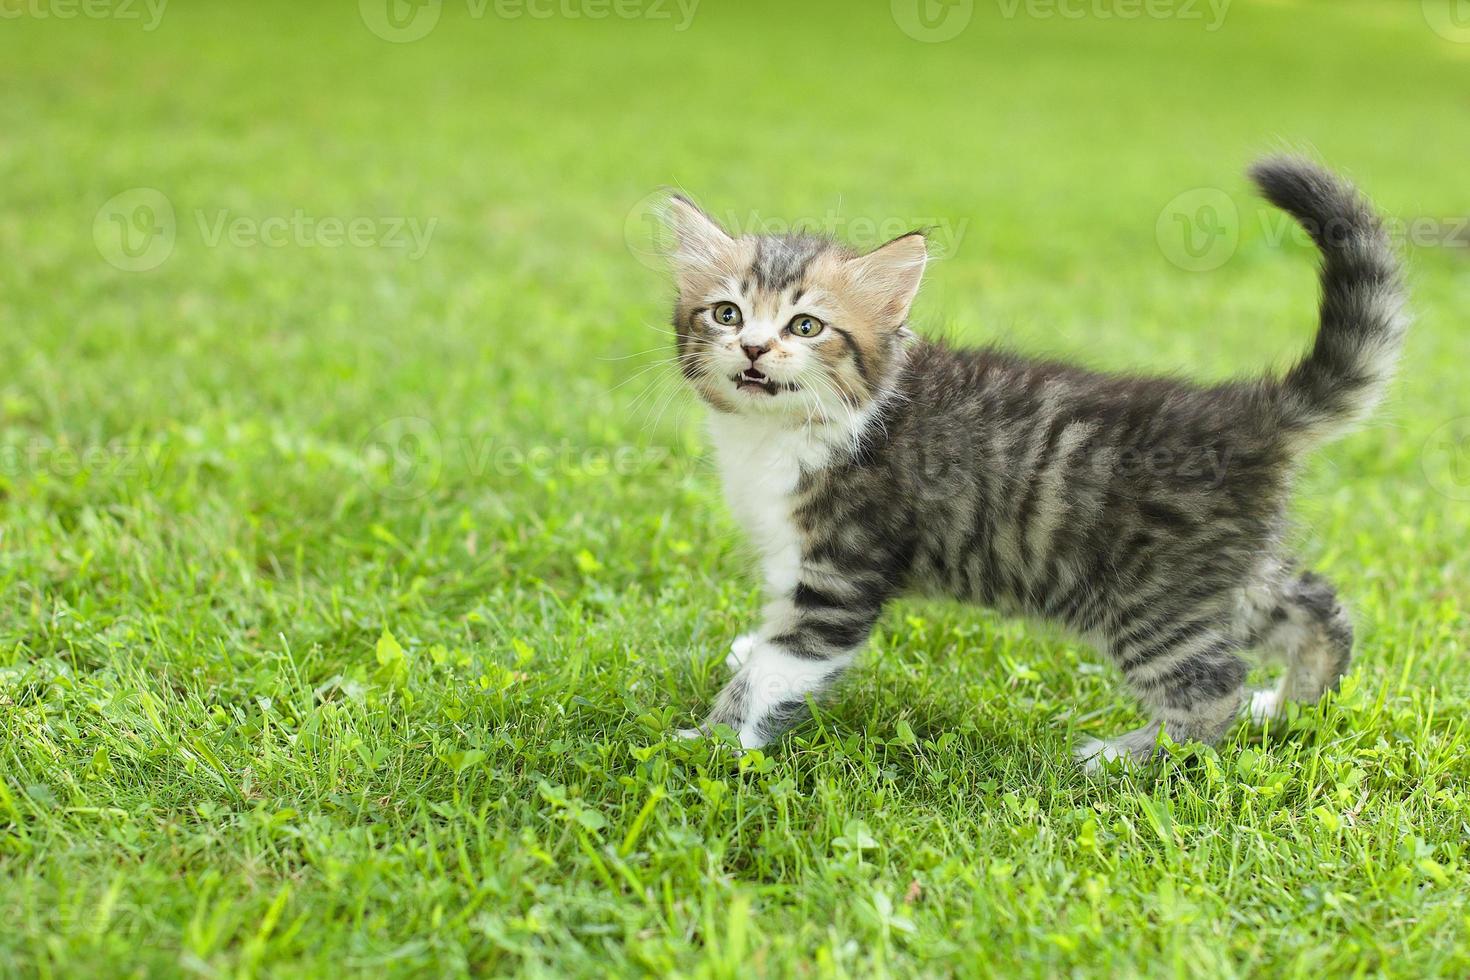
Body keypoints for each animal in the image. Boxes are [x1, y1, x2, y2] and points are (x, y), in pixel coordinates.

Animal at [664, 159, 1399, 764]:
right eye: (727, 314)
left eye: (806, 326)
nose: (754, 348)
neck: (779, 433)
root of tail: (1247, 409)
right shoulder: (792, 559)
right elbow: (767, 643)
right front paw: (738, 667)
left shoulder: (840, 574)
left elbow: (778, 668)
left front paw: (707, 744)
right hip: (1224, 579)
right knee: (1316, 606)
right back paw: (1290, 705)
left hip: (1149, 598)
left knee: (1211, 688)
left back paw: (1123, 757)